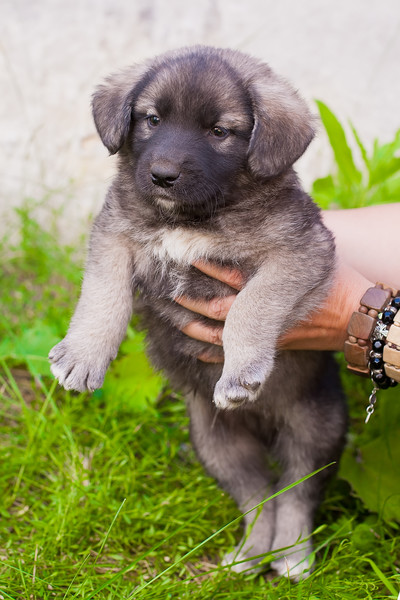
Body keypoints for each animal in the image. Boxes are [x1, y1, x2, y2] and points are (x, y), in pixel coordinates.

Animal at [48, 47, 346, 580]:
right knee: (258, 496)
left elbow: (250, 305)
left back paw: (291, 556)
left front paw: (242, 371)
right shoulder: (114, 236)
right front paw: (83, 355)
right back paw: (250, 554)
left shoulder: (300, 252)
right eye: (152, 119)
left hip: (314, 428)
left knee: (297, 492)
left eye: (220, 131)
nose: (163, 175)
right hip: (216, 441)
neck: (191, 218)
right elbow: (103, 296)